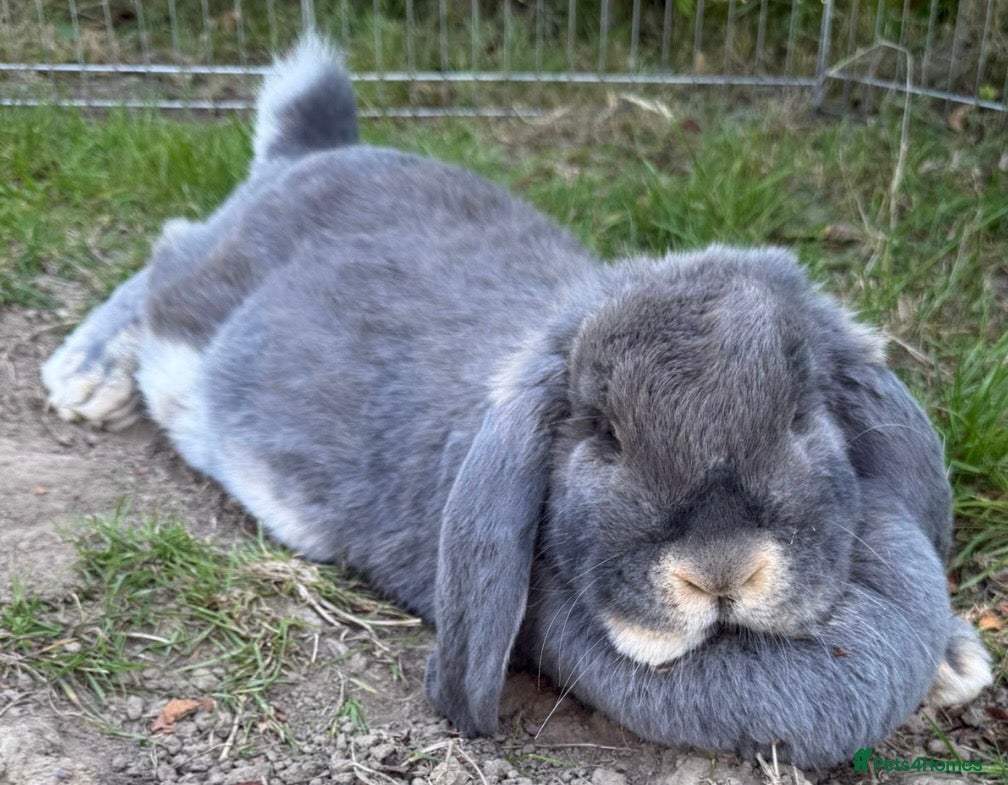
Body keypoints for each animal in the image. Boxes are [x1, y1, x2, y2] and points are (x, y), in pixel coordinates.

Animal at [41, 34, 992, 769]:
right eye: (601, 435)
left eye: (801, 416)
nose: (721, 571)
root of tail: (309, 154)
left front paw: (958, 665)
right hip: (199, 301)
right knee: (164, 259)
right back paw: (84, 377)